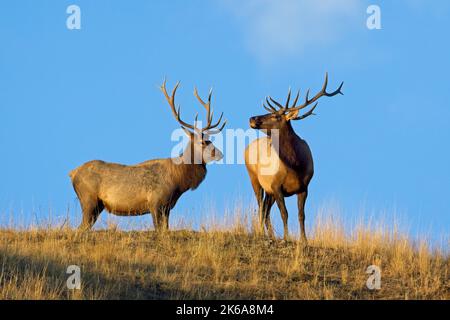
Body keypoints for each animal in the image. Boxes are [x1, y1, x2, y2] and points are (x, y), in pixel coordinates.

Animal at [69, 79, 227, 230]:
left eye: (211, 139)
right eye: (203, 142)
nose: (220, 154)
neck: (178, 181)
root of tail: (72, 173)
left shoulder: (167, 207)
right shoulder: (156, 202)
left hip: (97, 205)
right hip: (89, 200)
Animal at [244, 73, 342, 242]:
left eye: (276, 115)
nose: (252, 118)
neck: (295, 165)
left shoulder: (304, 187)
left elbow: (301, 215)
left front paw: (304, 240)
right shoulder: (276, 186)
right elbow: (285, 213)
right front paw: (286, 237)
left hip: (268, 190)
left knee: (265, 209)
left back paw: (270, 234)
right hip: (254, 178)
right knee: (261, 207)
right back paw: (262, 233)